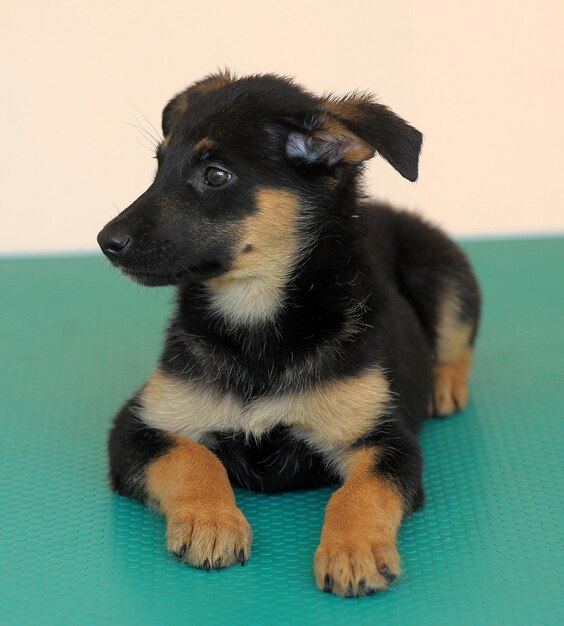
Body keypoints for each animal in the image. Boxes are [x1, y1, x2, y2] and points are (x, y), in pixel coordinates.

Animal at [97, 70, 480, 596]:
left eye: (216, 176)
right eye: (159, 166)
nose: (105, 242)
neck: (257, 321)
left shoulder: (387, 440)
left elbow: (361, 491)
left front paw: (353, 549)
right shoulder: (138, 424)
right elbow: (192, 459)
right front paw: (211, 521)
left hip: (445, 277)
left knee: (458, 345)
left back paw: (445, 386)